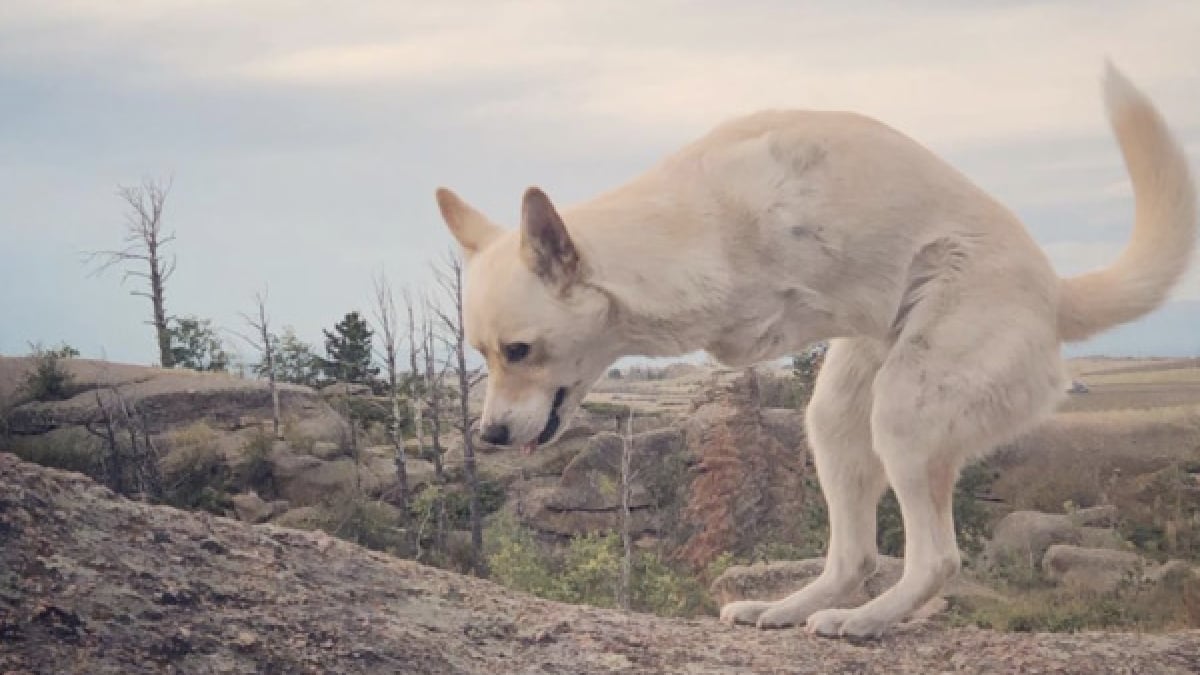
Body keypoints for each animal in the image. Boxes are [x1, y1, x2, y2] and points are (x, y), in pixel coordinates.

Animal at [432, 65, 1190, 638]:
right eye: (483, 353)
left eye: (520, 350)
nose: (490, 435)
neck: (691, 226)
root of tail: (1057, 292)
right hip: (836, 420)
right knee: (855, 555)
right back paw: (788, 608)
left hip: (905, 410)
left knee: (936, 560)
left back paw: (866, 621)